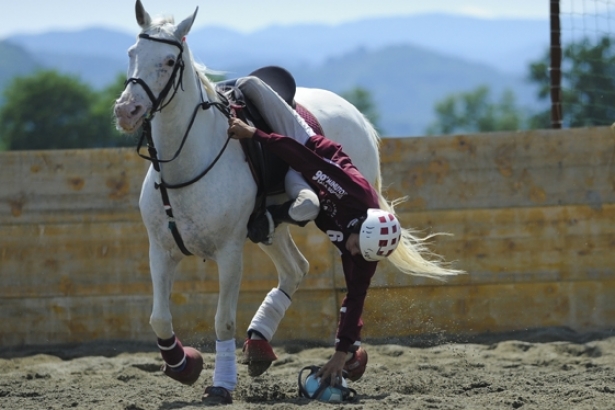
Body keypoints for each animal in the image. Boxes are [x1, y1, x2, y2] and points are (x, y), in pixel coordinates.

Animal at [114, 0, 458, 404]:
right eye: (132, 53)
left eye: (169, 61)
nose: (126, 111)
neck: (186, 161)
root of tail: (355, 113)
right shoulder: (160, 249)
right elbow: (159, 318)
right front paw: (183, 365)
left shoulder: (230, 252)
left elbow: (223, 321)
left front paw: (220, 384)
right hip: (270, 229)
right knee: (295, 268)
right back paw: (261, 345)